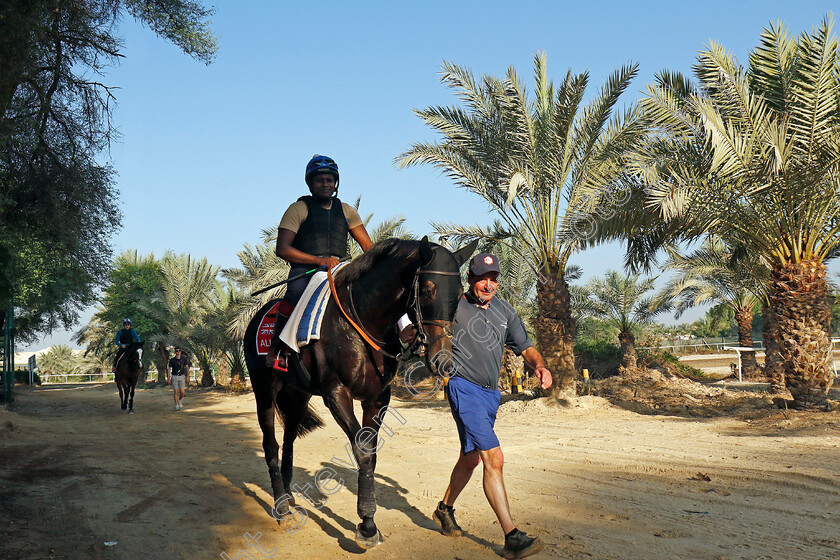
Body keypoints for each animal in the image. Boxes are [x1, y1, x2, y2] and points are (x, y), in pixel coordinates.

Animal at [246, 235, 476, 548]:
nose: (444, 361)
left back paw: (290, 497)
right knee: (270, 445)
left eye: (462, 292)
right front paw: (366, 525)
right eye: (429, 290)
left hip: (297, 396)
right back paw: (282, 508)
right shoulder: (336, 395)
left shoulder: (377, 398)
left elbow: (371, 452)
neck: (363, 325)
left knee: (289, 442)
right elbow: (362, 451)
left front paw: (368, 521)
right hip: (265, 392)